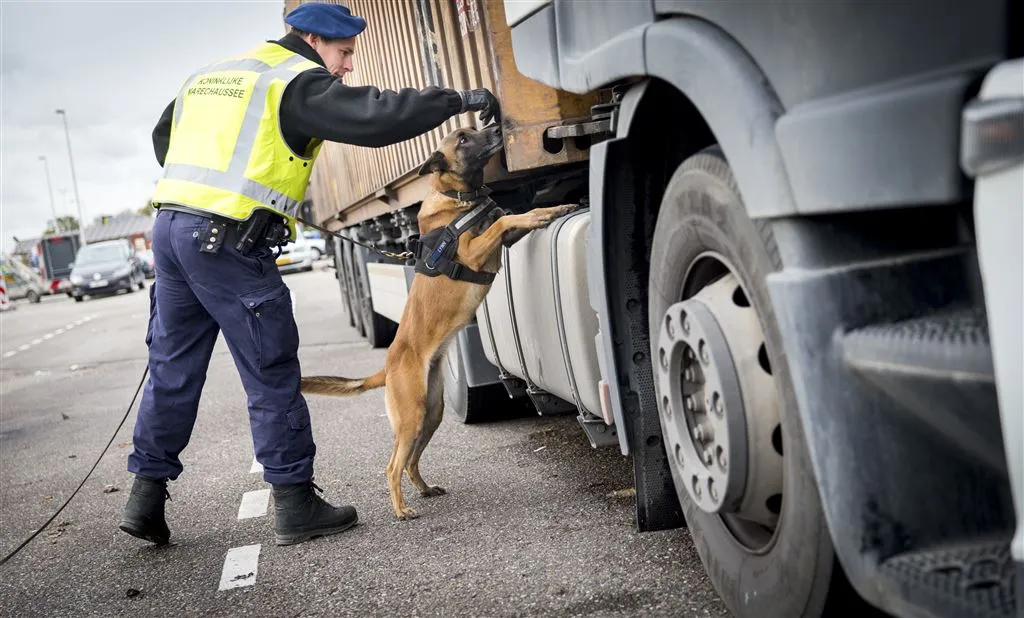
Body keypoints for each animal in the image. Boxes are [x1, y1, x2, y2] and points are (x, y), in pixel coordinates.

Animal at [301, 123, 577, 519]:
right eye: (462, 138)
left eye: (472, 130)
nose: (495, 125)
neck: (460, 198)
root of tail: (388, 366)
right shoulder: (474, 252)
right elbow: (506, 218)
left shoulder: (504, 240)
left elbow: (512, 218)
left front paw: (554, 209)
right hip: (411, 415)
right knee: (392, 465)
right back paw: (401, 510)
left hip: (431, 413)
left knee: (411, 461)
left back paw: (425, 489)